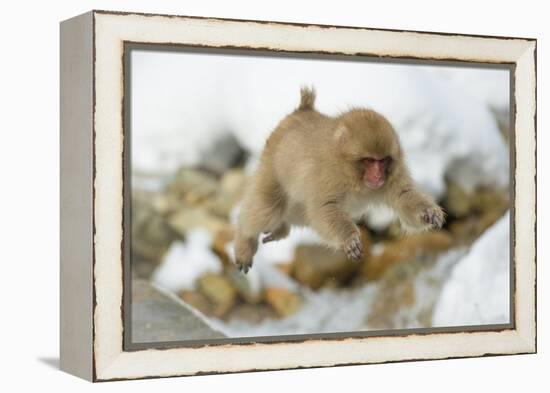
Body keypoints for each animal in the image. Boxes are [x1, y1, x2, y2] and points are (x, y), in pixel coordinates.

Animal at [235, 86, 446, 272]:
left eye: (383, 160)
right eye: (369, 161)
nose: (378, 176)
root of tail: (301, 111)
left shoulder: (394, 174)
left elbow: (403, 196)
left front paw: (428, 212)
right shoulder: (328, 175)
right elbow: (325, 208)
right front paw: (349, 239)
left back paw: (281, 229)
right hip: (271, 168)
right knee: (268, 209)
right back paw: (245, 240)